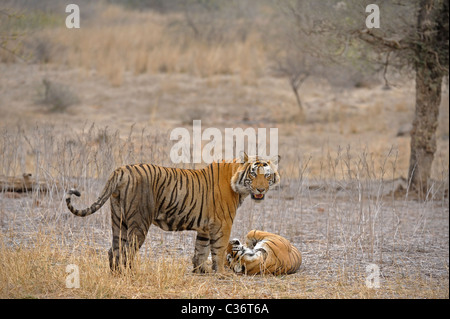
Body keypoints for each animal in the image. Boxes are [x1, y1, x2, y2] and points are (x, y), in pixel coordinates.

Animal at [65, 154, 280, 274]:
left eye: (267, 175)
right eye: (253, 174)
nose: (261, 189)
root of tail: (121, 169)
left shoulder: (205, 227)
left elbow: (200, 250)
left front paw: (200, 270)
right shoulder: (222, 224)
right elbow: (218, 250)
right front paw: (221, 273)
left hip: (118, 218)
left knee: (114, 249)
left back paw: (116, 274)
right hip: (139, 221)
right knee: (128, 250)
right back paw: (131, 274)